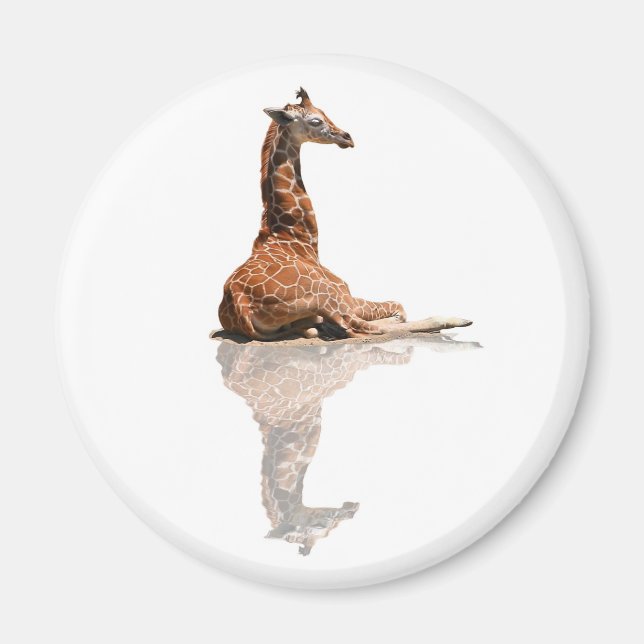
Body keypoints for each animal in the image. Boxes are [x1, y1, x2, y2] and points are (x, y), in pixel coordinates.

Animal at [218, 88, 472, 341]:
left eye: (324, 112)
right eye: (316, 120)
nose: (346, 137)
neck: (296, 237)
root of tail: (241, 307)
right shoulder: (345, 293)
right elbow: (398, 308)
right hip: (329, 298)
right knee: (364, 328)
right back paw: (456, 320)